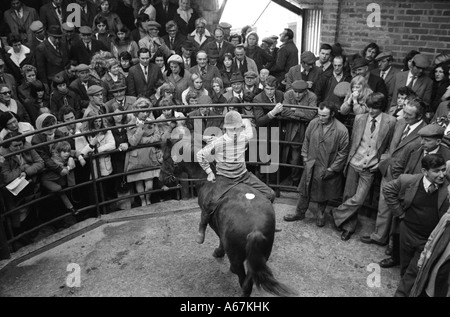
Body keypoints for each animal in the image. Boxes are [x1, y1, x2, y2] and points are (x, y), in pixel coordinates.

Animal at [161, 139, 292, 296]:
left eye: (165, 158)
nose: (160, 177)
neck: (207, 179)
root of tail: (255, 230)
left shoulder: (212, 219)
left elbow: (218, 237)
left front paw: (218, 252)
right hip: (262, 255)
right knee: (250, 276)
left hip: (236, 257)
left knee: (243, 279)